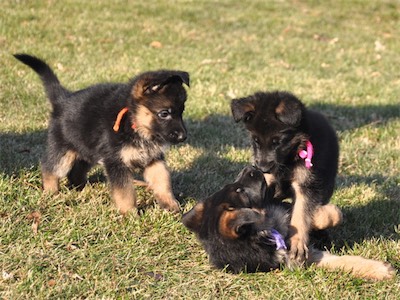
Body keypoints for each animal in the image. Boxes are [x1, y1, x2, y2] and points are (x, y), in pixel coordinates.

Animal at [14, 53, 190, 213]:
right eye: (164, 113)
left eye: (181, 111)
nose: (183, 137)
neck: (133, 122)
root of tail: (62, 99)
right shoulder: (116, 162)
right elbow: (125, 192)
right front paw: (130, 214)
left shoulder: (153, 159)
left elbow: (163, 181)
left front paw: (170, 205)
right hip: (64, 153)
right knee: (49, 168)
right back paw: (51, 192)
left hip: (86, 151)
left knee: (76, 172)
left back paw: (79, 189)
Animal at [183, 168, 396, 280]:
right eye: (239, 191)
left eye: (233, 187)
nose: (251, 168)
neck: (265, 233)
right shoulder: (299, 258)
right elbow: (339, 262)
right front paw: (380, 270)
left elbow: (305, 215)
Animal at [231, 91, 338, 264]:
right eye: (256, 141)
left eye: (278, 142)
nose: (262, 168)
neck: (288, 160)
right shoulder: (266, 182)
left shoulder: (306, 186)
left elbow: (301, 213)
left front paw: (297, 244)